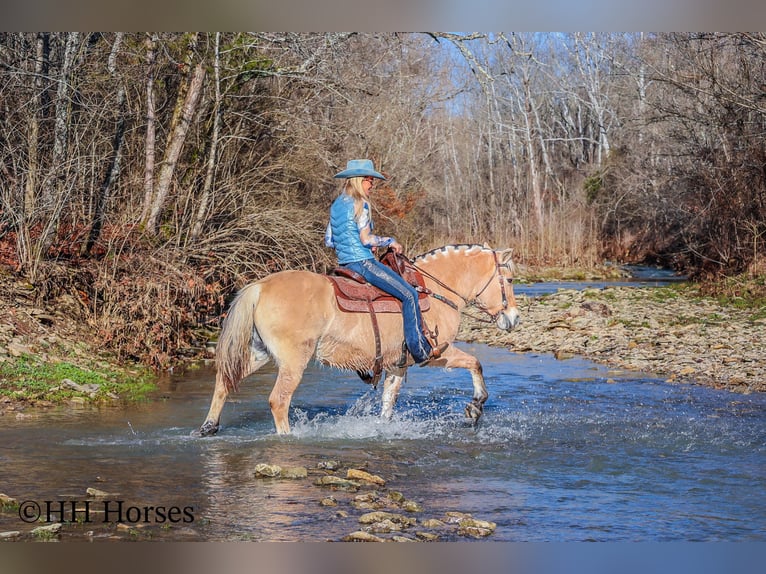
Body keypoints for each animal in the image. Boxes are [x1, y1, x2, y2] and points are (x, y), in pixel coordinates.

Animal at [195, 243, 520, 436]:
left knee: (224, 382)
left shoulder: (397, 364)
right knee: (278, 401)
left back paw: (209, 427)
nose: (514, 319)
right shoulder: (435, 353)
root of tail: (260, 286)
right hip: (293, 361)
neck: (433, 291)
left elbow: (388, 401)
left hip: (258, 352)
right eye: (510, 280)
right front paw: (475, 407)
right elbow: (475, 363)